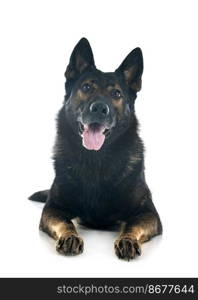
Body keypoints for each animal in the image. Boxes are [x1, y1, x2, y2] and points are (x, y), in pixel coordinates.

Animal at [29, 38, 162, 260]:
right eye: (86, 87)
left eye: (117, 93)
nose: (99, 108)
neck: (95, 160)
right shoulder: (53, 208)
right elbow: (65, 222)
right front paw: (70, 237)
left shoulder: (148, 213)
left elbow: (132, 226)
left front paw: (127, 240)